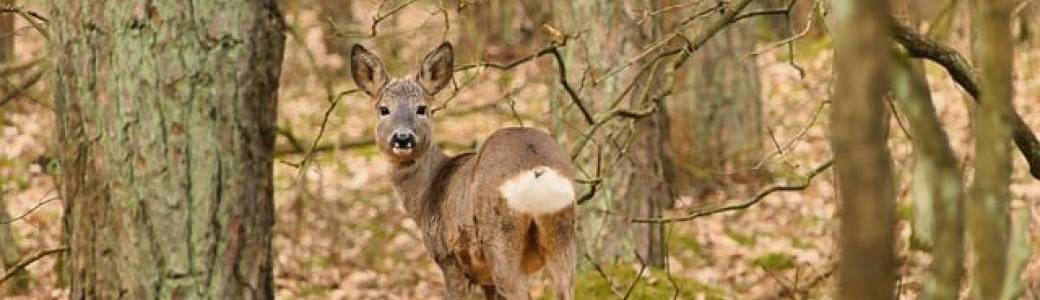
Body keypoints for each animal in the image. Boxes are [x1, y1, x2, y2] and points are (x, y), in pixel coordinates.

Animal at [349, 42, 578, 300]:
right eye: (384, 109)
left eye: (422, 108)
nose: (403, 137)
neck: (427, 194)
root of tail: (537, 171)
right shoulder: (485, 278)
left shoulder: (449, 258)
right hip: (563, 232)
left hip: (500, 238)